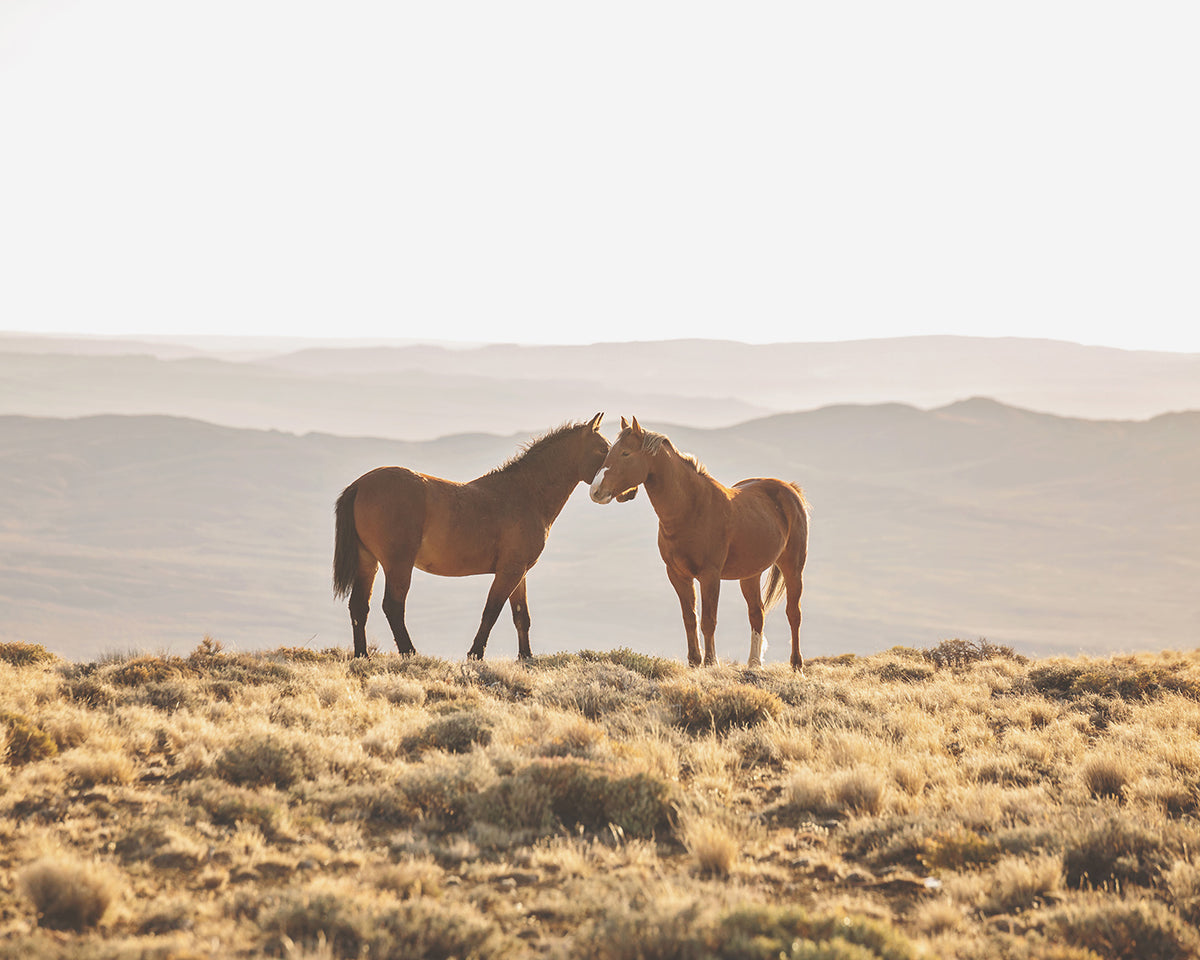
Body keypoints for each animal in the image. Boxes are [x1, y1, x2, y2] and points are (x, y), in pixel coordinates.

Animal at [331, 412, 604, 662]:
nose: (606, 489)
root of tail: (360, 485)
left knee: (359, 606)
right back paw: (410, 653)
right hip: (398, 564)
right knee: (393, 605)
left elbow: (520, 616)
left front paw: (525, 657)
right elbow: (492, 611)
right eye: (603, 449)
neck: (525, 494)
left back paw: (362, 655)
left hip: (368, 561)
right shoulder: (510, 571)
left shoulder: (519, 572)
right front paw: (475, 654)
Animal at [588, 415, 811, 672]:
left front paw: (710, 662)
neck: (691, 508)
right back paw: (754, 664)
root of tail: (790, 489)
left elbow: (708, 620)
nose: (596, 491)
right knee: (757, 613)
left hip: (793, 567)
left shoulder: (709, 575)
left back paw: (796, 665)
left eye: (625, 453)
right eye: (609, 451)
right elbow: (690, 618)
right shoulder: (677, 574)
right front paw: (694, 661)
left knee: (793, 613)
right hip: (750, 574)